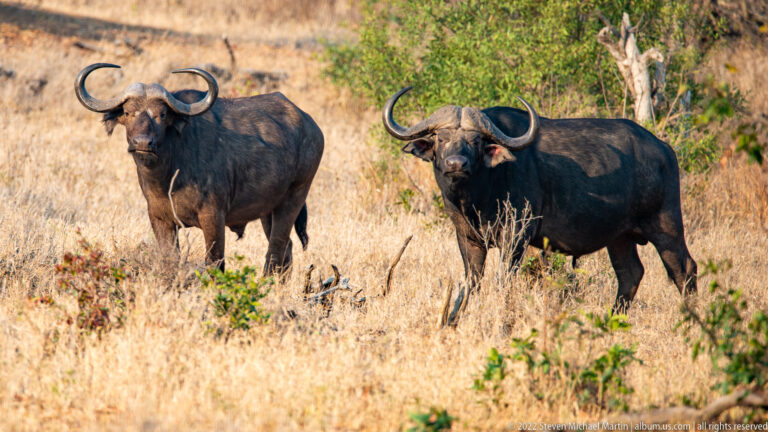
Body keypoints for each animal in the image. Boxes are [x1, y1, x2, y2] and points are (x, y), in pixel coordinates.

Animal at [75, 63, 324, 274]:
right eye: (127, 112)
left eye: (162, 114)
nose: (143, 143)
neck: (168, 178)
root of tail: (311, 126)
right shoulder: (159, 218)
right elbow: (169, 260)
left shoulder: (213, 217)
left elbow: (215, 263)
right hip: (267, 210)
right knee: (286, 249)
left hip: (293, 198)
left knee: (275, 250)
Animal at [383, 87, 696, 312]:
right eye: (441, 138)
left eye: (475, 141)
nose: (456, 163)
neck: (477, 198)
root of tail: (664, 149)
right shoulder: (468, 238)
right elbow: (472, 282)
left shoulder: (516, 235)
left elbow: (504, 280)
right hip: (620, 237)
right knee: (630, 274)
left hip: (666, 226)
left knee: (684, 269)